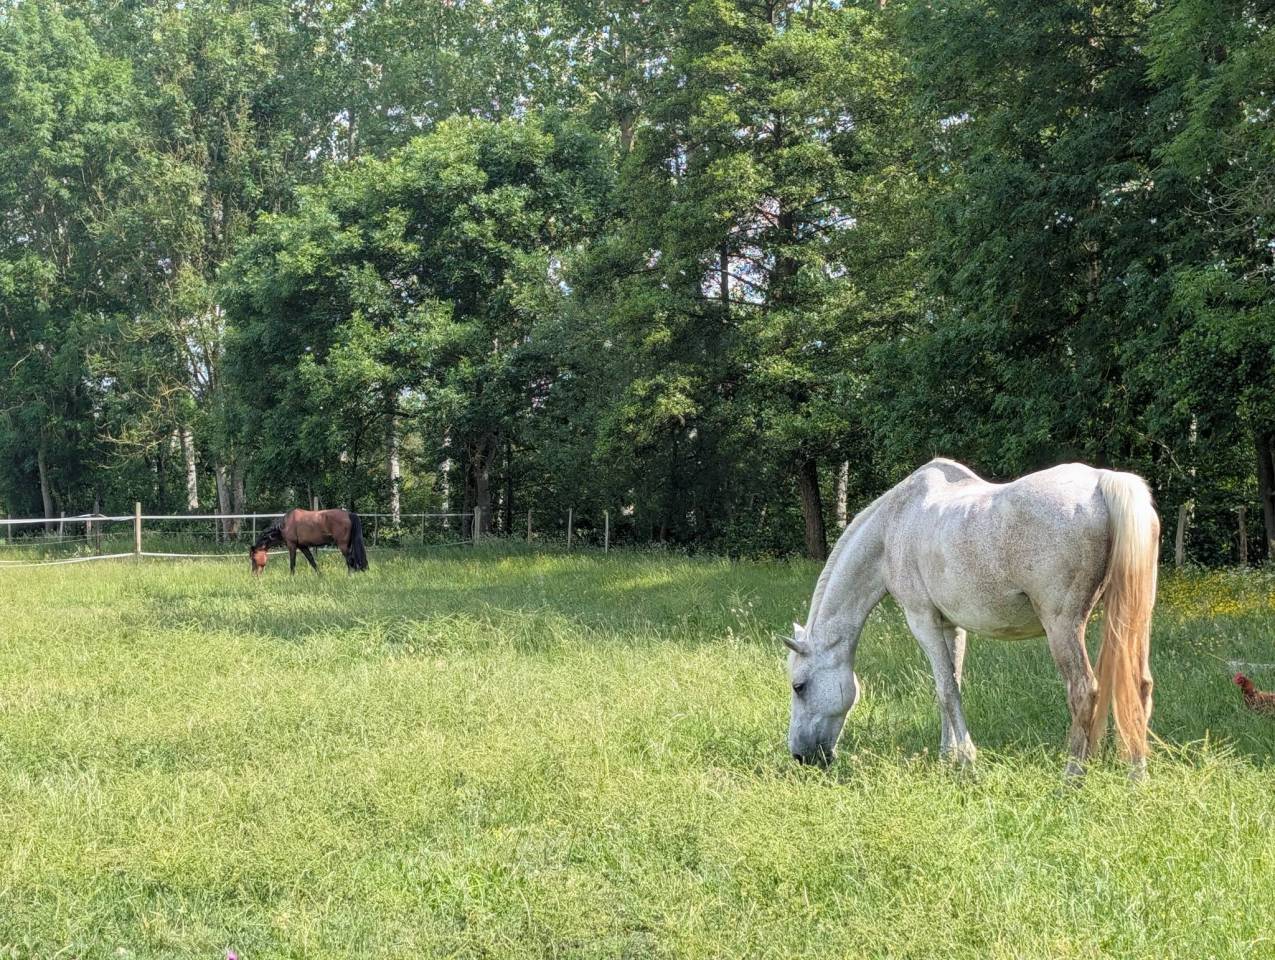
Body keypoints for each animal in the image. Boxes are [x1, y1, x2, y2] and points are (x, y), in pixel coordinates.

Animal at [785, 458, 1159, 780]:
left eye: (798, 686)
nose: (801, 757)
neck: (892, 527)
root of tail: (1101, 481)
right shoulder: (951, 625)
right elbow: (952, 685)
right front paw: (946, 757)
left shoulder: (922, 620)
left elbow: (946, 688)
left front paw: (966, 761)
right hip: (1134, 621)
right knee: (1140, 686)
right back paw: (1136, 777)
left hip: (1063, 626)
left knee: (1084, 691)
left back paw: (1071, 778)